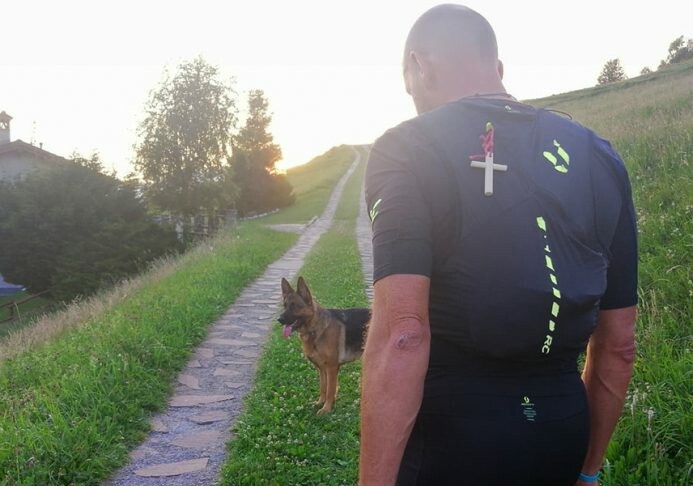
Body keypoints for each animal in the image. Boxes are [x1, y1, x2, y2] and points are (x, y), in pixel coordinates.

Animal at [278, 276, 370, 415]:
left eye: (295, 306)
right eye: (285, 306)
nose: (279, 319)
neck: (315, 328)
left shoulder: (332, 368)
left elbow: (330, 390)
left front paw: (326, 409)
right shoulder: (321, 369)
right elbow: (323, 388)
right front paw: (320, 403)